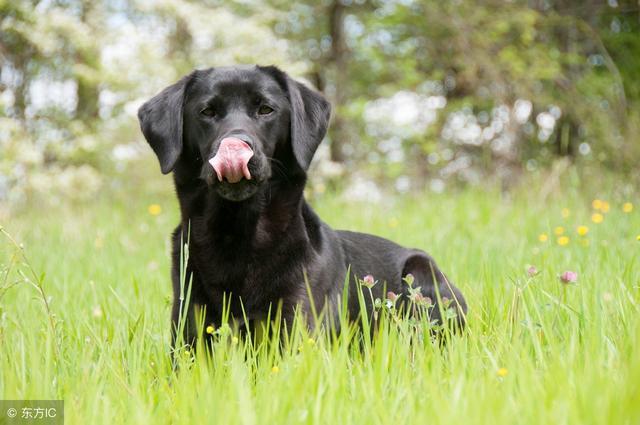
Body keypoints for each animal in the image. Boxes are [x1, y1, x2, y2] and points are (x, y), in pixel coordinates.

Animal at [139, 65, 464, 344]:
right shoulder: (190, 328)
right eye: (207, 111)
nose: (237, 146)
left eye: (266, 109)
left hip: (421, 272)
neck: (237, 233)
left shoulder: (296, 324)